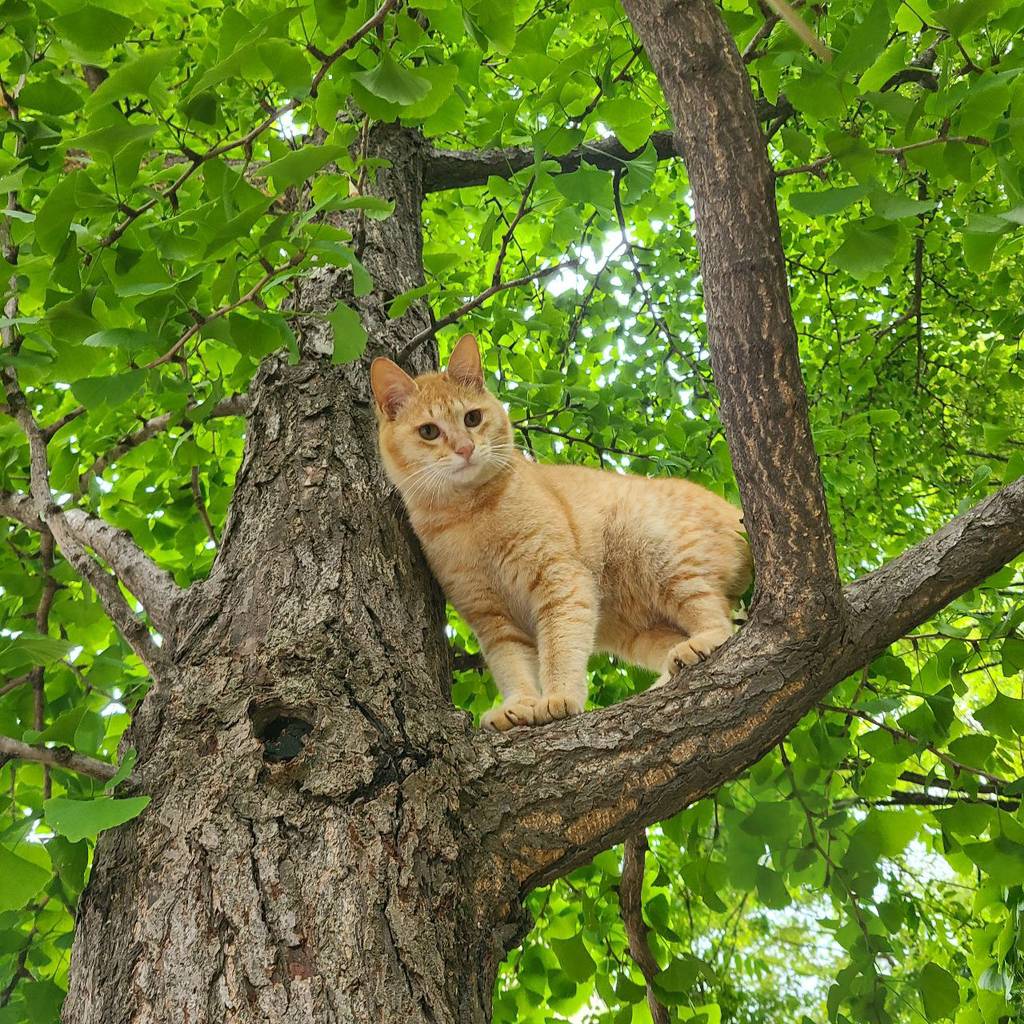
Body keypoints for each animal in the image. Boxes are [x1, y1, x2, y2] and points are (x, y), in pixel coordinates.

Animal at [370, 339, 753, 733]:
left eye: (472, 418)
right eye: (429, 432)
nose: (465, 448)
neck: (469, 515)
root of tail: (733, 510)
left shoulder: (560, 582)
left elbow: (559, 648)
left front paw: (558, 697)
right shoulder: (493, 620)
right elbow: (512, 667)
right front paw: (519, 705)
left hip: (663, 561)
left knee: (719, 620)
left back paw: (701, 643)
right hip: (643, 631)